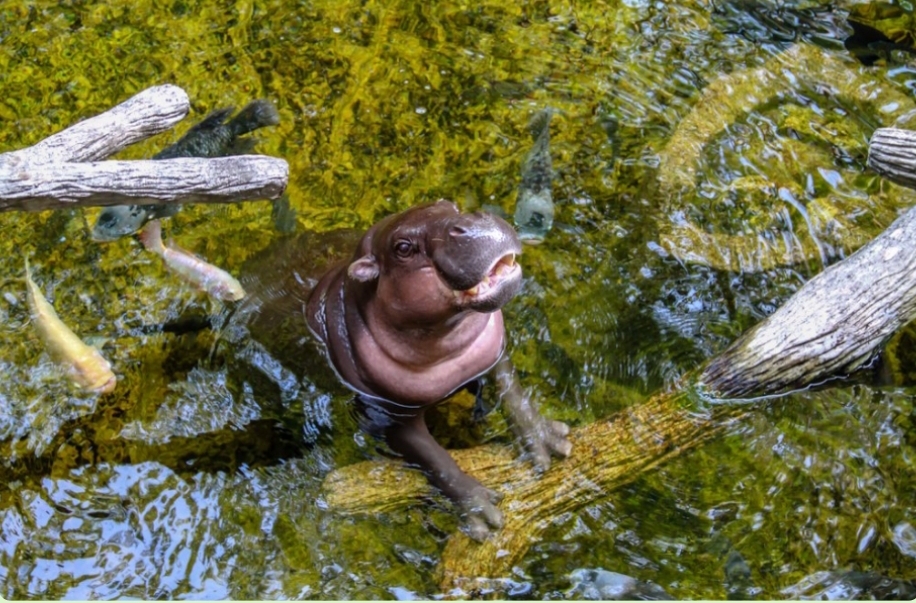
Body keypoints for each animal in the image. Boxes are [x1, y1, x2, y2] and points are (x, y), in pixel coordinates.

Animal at [304, 201, 568, 540]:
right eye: (403, 248)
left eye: (448, 204)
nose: (476, 222)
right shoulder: (390, 414)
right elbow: (433, 457)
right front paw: (480, 511)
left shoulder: (493, 355)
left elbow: (514, 394)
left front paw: (547, 439)